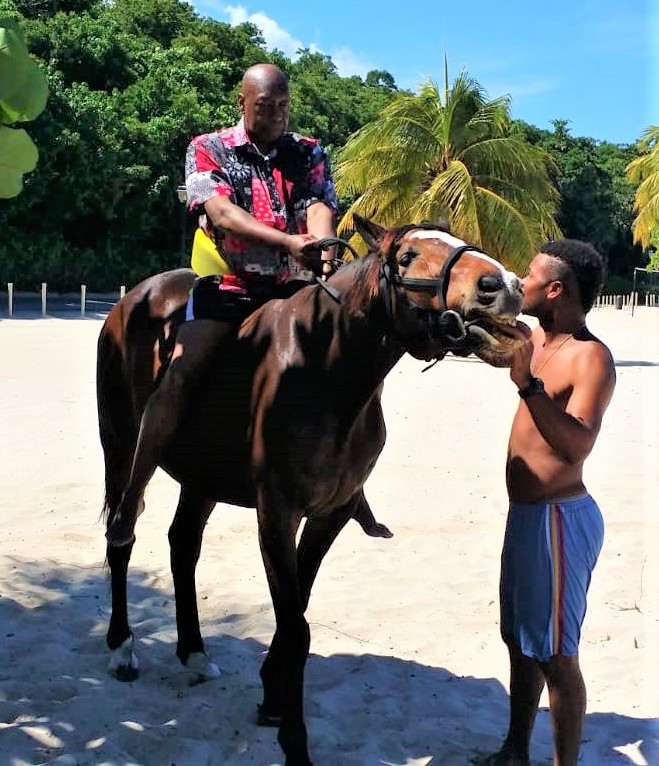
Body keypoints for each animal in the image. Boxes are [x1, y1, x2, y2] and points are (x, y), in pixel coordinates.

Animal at [96, 216, 532, 766]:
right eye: (407, 257)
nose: (504, 286)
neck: (326, 371)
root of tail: (133, 299)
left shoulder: (332, 513)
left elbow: (295, 611)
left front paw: (272, 697)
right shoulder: (277, 515)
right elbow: (295, 625)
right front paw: (295, 742)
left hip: (201, 478)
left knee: (183, 545)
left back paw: (193, 651)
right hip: (122, 446)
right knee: (122, 535)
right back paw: (122, 647)